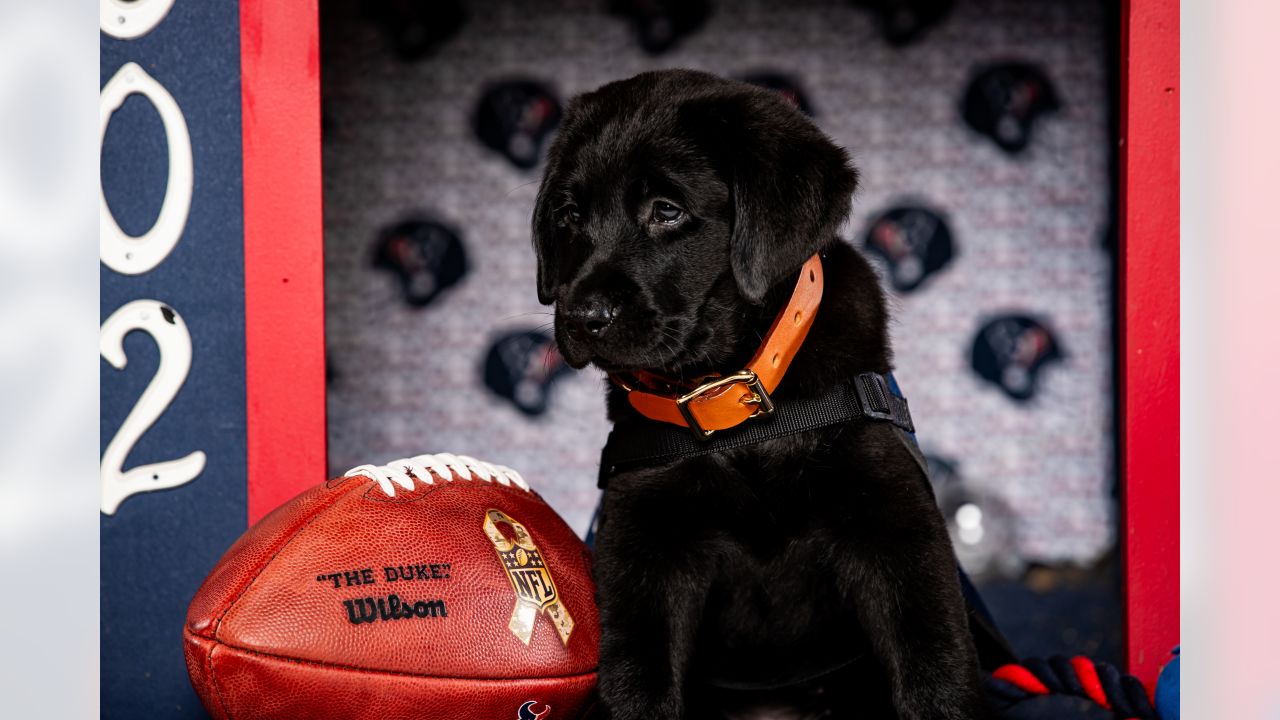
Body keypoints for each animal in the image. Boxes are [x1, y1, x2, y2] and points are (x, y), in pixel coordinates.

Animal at [529, 70, 977, 712]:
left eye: (666, 211)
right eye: (567, 213)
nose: (582, 316)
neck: (734, 403)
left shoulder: (892, 518)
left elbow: (932, 660)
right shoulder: (642, 538)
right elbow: (636, 677)